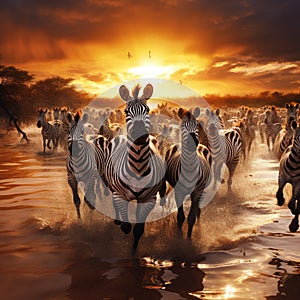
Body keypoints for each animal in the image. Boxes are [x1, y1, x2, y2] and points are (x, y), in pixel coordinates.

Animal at [104, 83, 166, 254]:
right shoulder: (119, 195)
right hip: (112, 187)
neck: (138, 165)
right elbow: (126, 225)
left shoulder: (149, 199)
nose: (139, 133)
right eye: (126, 111)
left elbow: (138, 230)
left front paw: (133, 252)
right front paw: (123, 225)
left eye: (147, 110)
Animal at [164, 106, 211, 240]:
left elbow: (191, 218)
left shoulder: (197, 192)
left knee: (198, 210)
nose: (193, 143)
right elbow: (180, 217)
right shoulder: (178, 192)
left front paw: (189, 240)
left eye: (196, 125)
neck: (189, 168)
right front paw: (178, 237)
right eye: (183, 127)